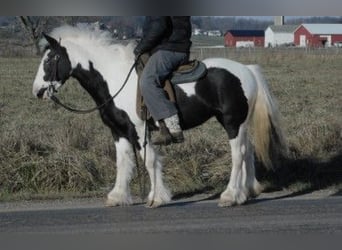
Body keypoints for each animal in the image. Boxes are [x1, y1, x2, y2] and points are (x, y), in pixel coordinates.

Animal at [32, 25, 286, 208]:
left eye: (49, 59)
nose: (38, 91)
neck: (114, 78)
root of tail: (247, 70)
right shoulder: (118, 131)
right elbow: (123, 162)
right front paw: (118, 196)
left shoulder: (138, 130)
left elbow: (149, 161)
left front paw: (156, 197)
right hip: (241, 123)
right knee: (249, 151)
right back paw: (248, 191)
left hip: (232, 122)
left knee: (238, 154)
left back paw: (230, 196)